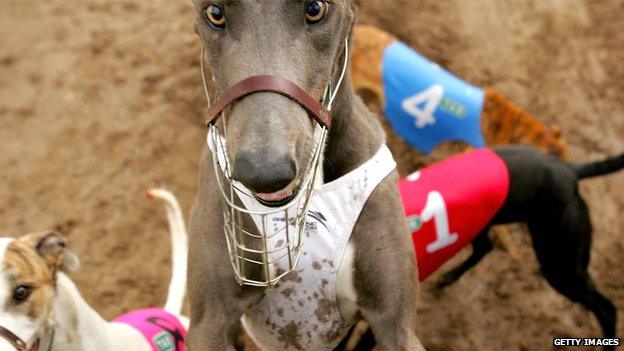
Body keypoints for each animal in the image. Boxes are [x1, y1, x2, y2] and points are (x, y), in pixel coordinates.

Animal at [342, 146, 624, 351]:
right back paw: (448, 278)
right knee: (485, 248)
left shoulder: (388, 326)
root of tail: (569, 170)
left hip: (560, 267)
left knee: (607, 308)